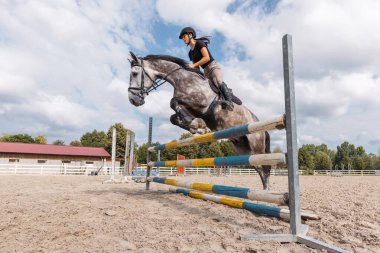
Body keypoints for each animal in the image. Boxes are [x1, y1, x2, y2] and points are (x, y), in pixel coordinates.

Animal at [129, 52, 272, 190]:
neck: (181, 79)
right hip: (243, 149)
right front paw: (196, 127)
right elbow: (173, 117)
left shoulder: (200, 104)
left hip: (256, 146)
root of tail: (262, 129)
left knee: (264, 169)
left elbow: (173, 101)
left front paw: (194, 124)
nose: (133, 100)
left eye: (134, 73)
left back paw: (265, 192)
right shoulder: (191, 109)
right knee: (260, 169)